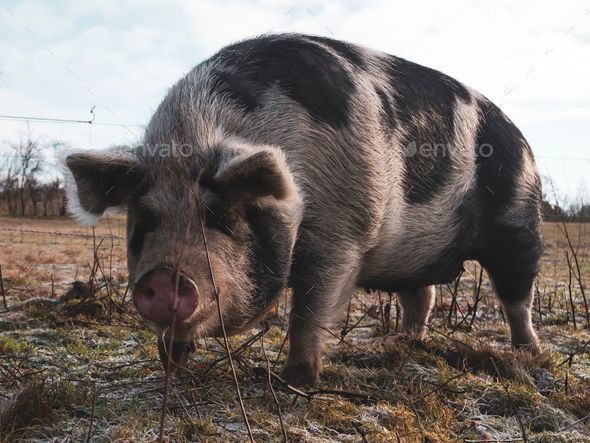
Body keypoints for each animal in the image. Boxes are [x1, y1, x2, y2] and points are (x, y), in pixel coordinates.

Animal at [62, 33, 544, 386]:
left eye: (221, 218)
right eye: (145, 222)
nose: (164, 278)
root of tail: (521, 137)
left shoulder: (343, 235)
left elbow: (311, 310)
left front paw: (297, 382)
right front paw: (171, 367)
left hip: (519, 221)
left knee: (517, 296)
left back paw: (530, 355)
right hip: (416, 256)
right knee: (421, 296)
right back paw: (405, 345)